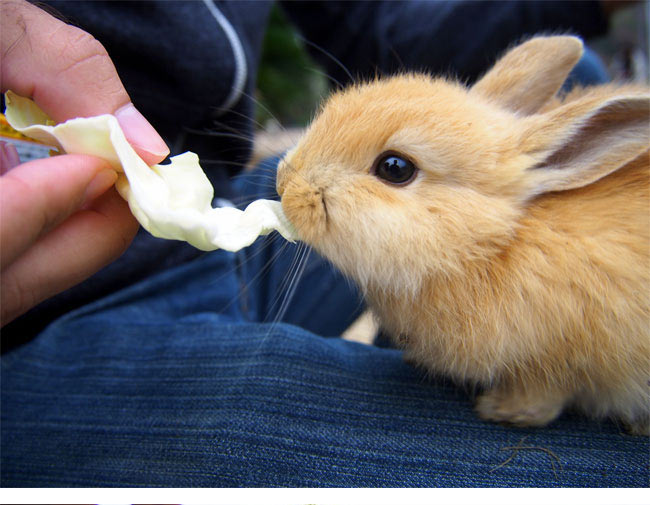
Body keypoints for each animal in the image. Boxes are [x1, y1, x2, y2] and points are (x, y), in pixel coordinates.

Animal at [276, 36, 650, 434]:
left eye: (395, 168)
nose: (284, 184)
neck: (491, 244)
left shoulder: (565, 356)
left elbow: (544, 393)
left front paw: (502, 411)